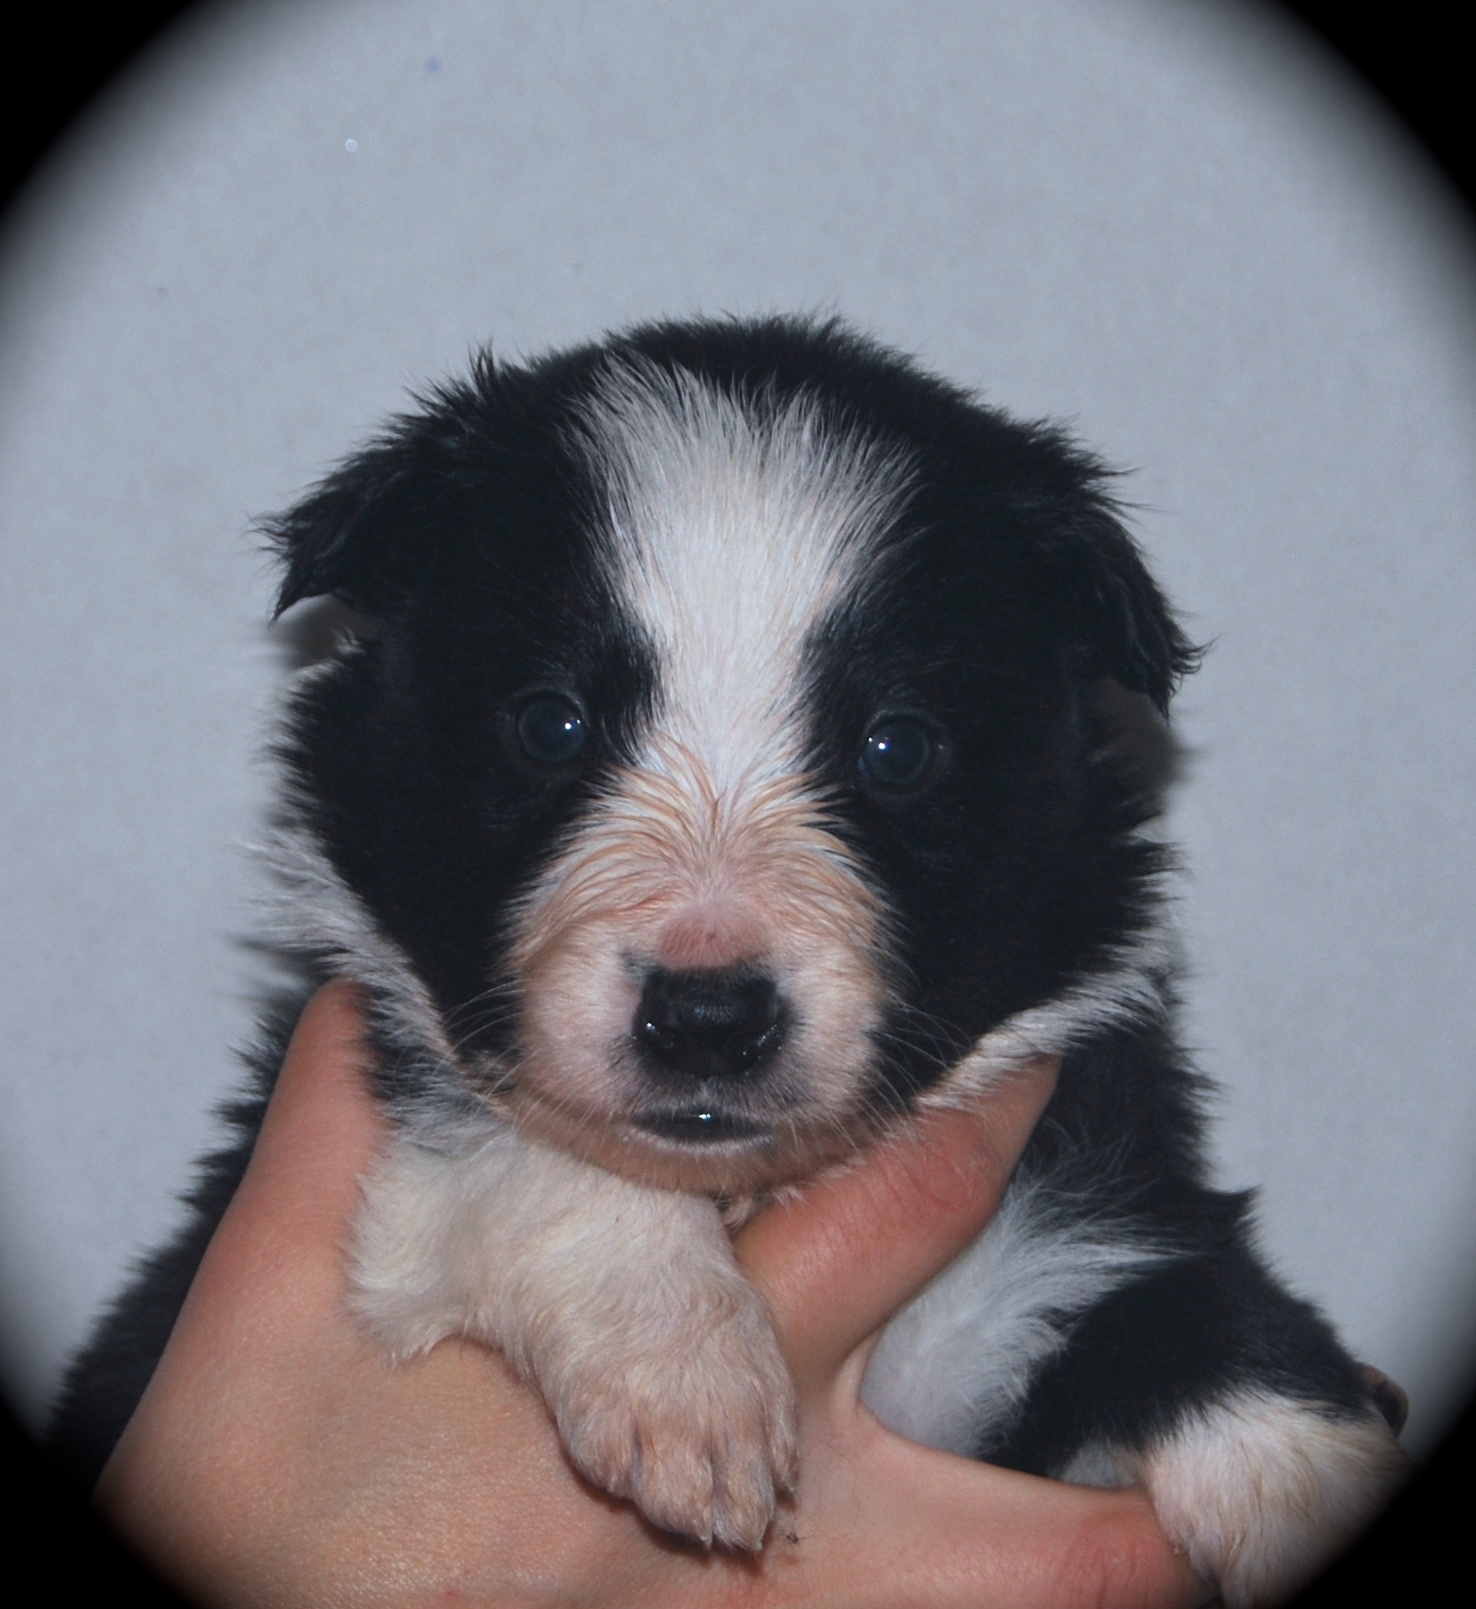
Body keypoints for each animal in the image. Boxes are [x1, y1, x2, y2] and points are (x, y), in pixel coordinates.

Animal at [51, 315, 1408, 1605]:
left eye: (897, 746)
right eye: (551, 723)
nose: (707, 1019)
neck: (753, 1193)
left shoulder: (1082, 1195)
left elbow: (1183, 1287)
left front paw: (1301, 1462)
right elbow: (526, 1153)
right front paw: (684, 1369)